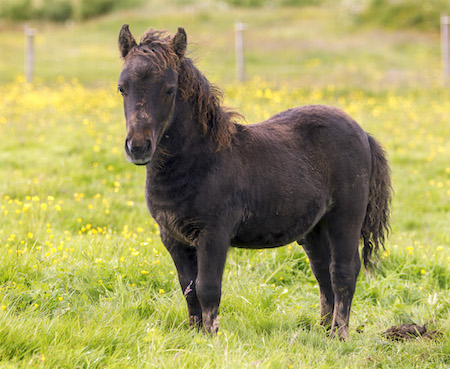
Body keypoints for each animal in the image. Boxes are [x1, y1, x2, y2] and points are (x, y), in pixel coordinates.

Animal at [118, 25, 392, 340]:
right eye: (122, 87)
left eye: (169, 89)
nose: (138, 147)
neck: (200, 160)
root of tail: (362, 133)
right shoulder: (171, 237)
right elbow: (188, 288)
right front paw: (195, 335)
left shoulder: (214, 233)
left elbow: (207, 288)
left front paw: (211, 339)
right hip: (315, 228)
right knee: (323, 273)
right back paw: (322, 330)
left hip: (346, 216)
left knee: (344, 271)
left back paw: (339, 334)